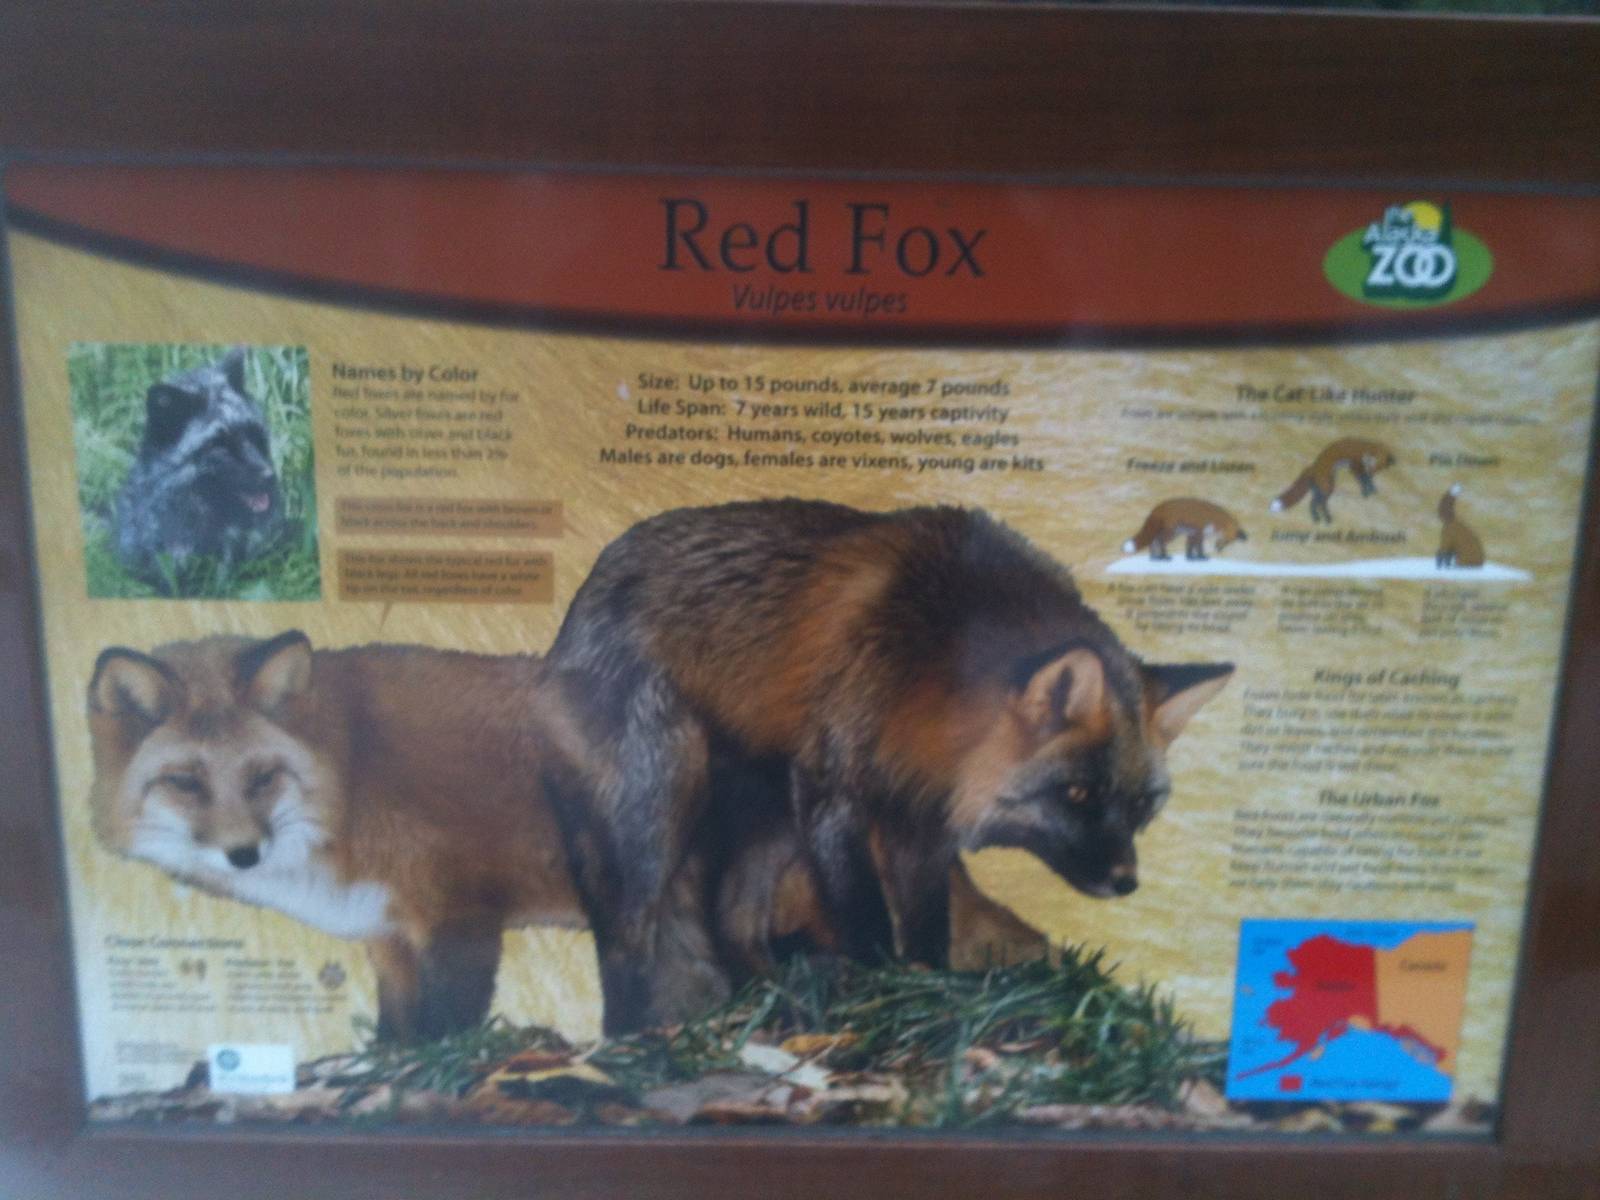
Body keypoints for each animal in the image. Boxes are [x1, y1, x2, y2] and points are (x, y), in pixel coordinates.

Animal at [543, 500, 1233, 1033]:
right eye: (1080, 795)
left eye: (1141, 805)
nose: (1126, 881)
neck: (927, 667)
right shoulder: (833, 793)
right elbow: (866, 913)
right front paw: (884, 991)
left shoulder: (918, 814)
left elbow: (927, 921)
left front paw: (929, 987)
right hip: (661, 804)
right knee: (627, 937)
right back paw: (635, 1036)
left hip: (770, 823)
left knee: (729, 919)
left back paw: (768, 999)